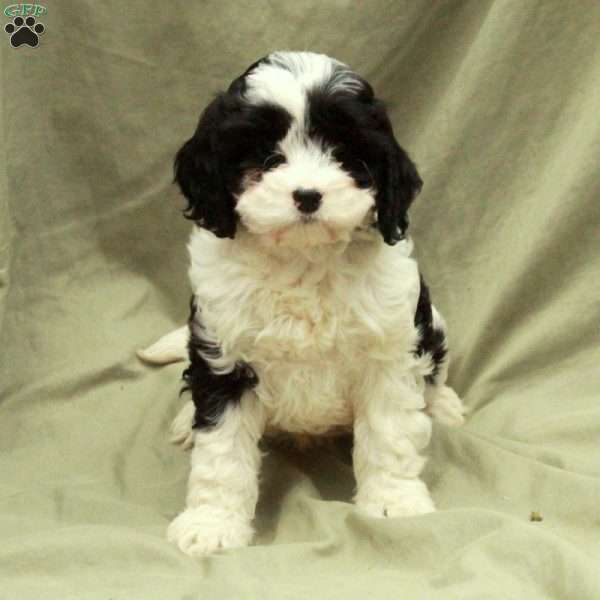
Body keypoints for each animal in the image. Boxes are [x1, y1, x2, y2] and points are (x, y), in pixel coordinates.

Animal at [139, 50, 464, 556]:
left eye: (343, 152)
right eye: (265, 156)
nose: (308, 196)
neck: (303, 260)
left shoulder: (390, 350)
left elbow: (390, 433)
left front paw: (394, 503)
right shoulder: (224, 353)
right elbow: (222, 453)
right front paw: (212, 523)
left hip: (432, 322)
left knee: (435, 368)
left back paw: (443, 404)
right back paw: (185, 421)